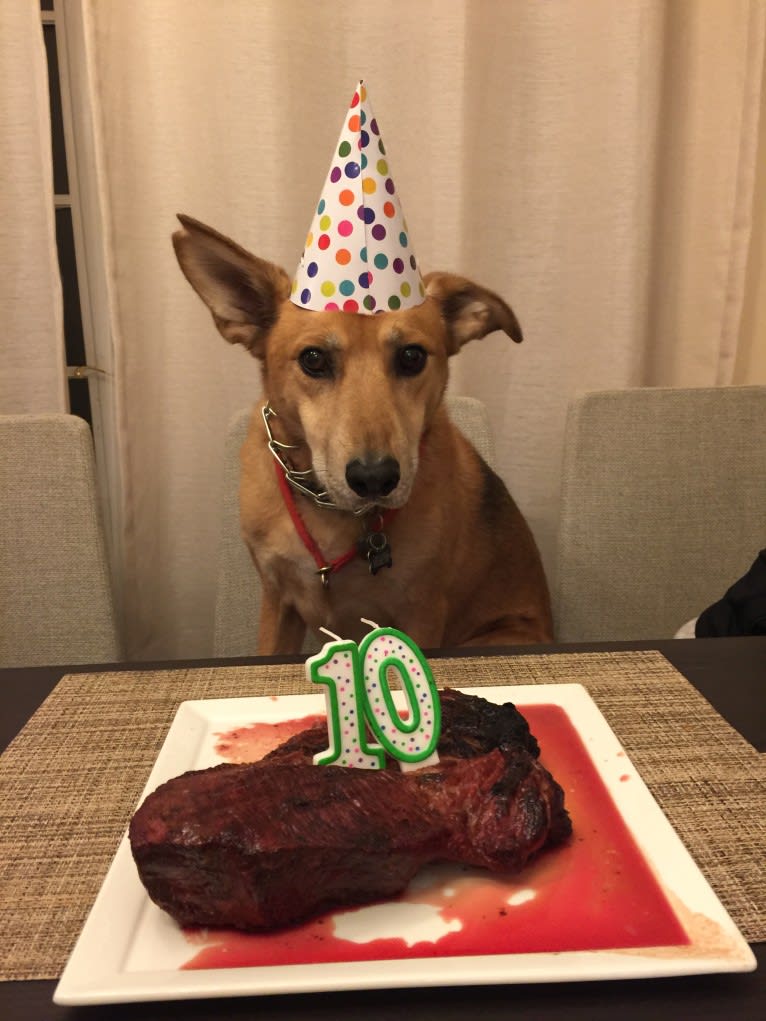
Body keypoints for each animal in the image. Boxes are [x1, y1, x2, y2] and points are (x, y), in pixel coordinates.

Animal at [173, 215, 551, 653]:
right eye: (313, 359)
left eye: (411, 356)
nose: (375, 479)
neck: (328, 511)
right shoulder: (277, 600)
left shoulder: (422, 613)